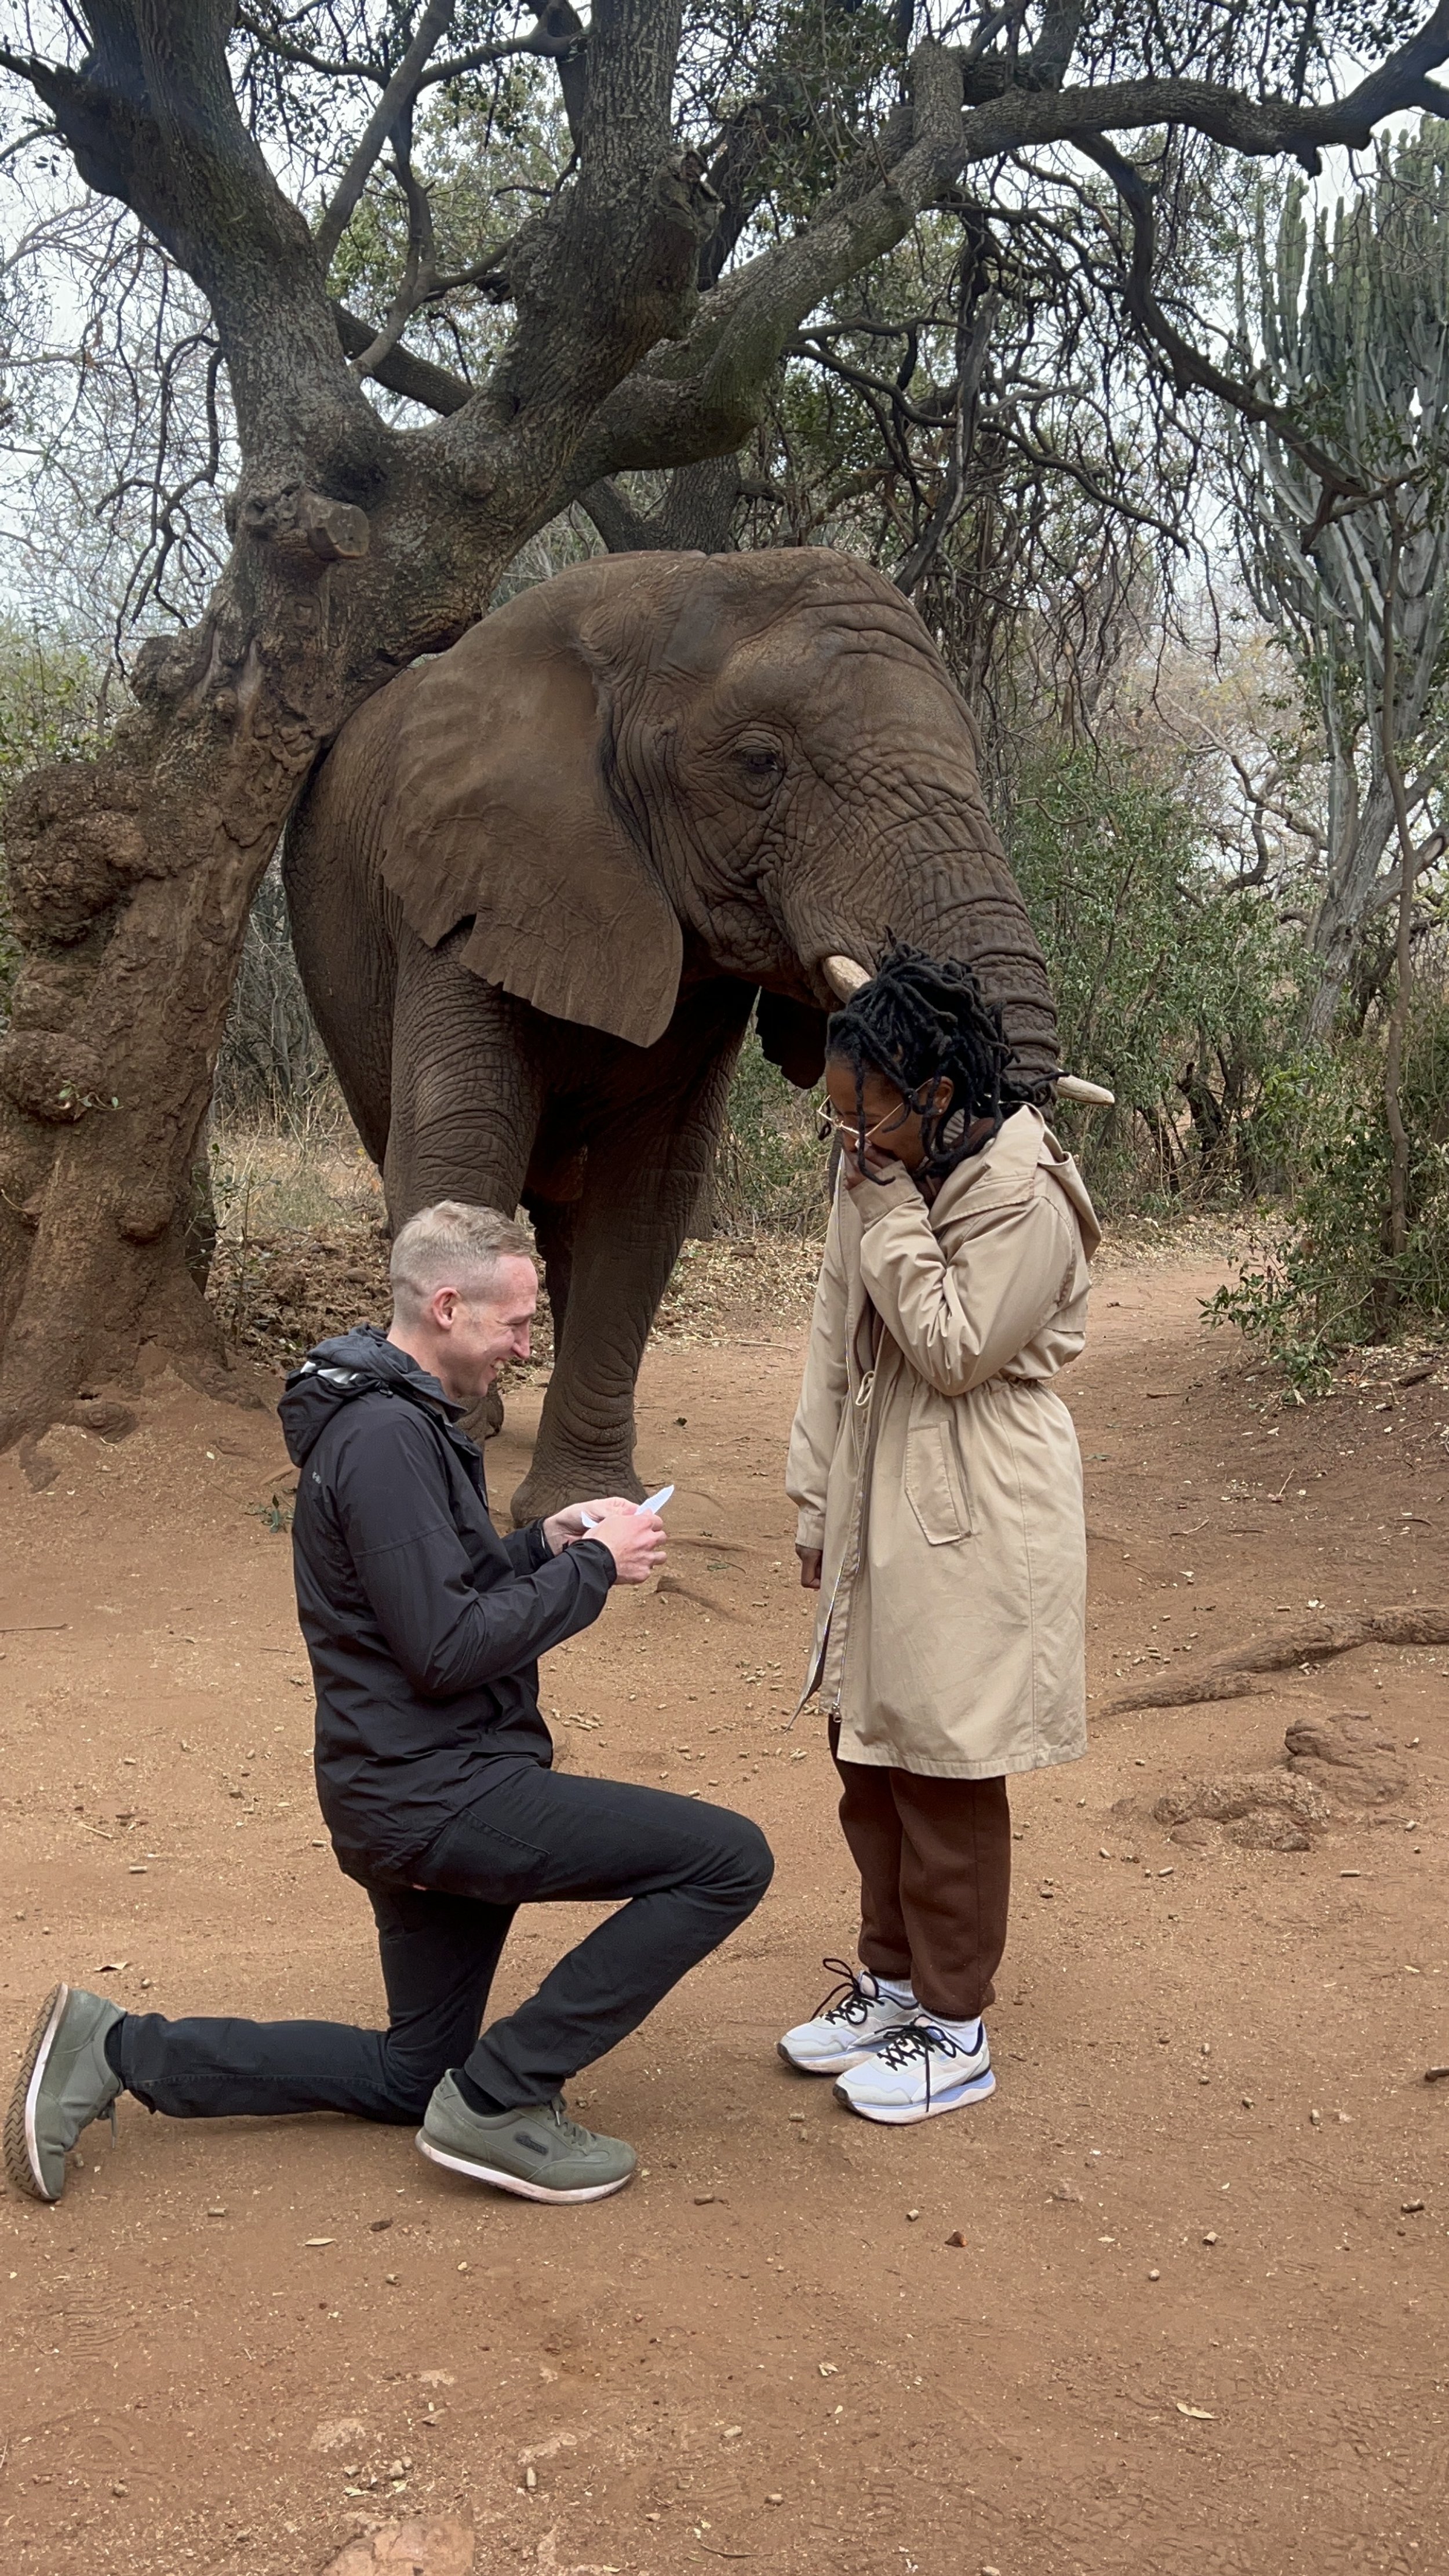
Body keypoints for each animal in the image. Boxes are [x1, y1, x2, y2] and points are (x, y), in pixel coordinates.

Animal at [284, 546, 1096, 1526]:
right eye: (759, 763)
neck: (654, 598)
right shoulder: (462, 889)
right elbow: (462, 1146)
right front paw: (457, 1448)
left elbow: (649, 1188)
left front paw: (582, 1502)